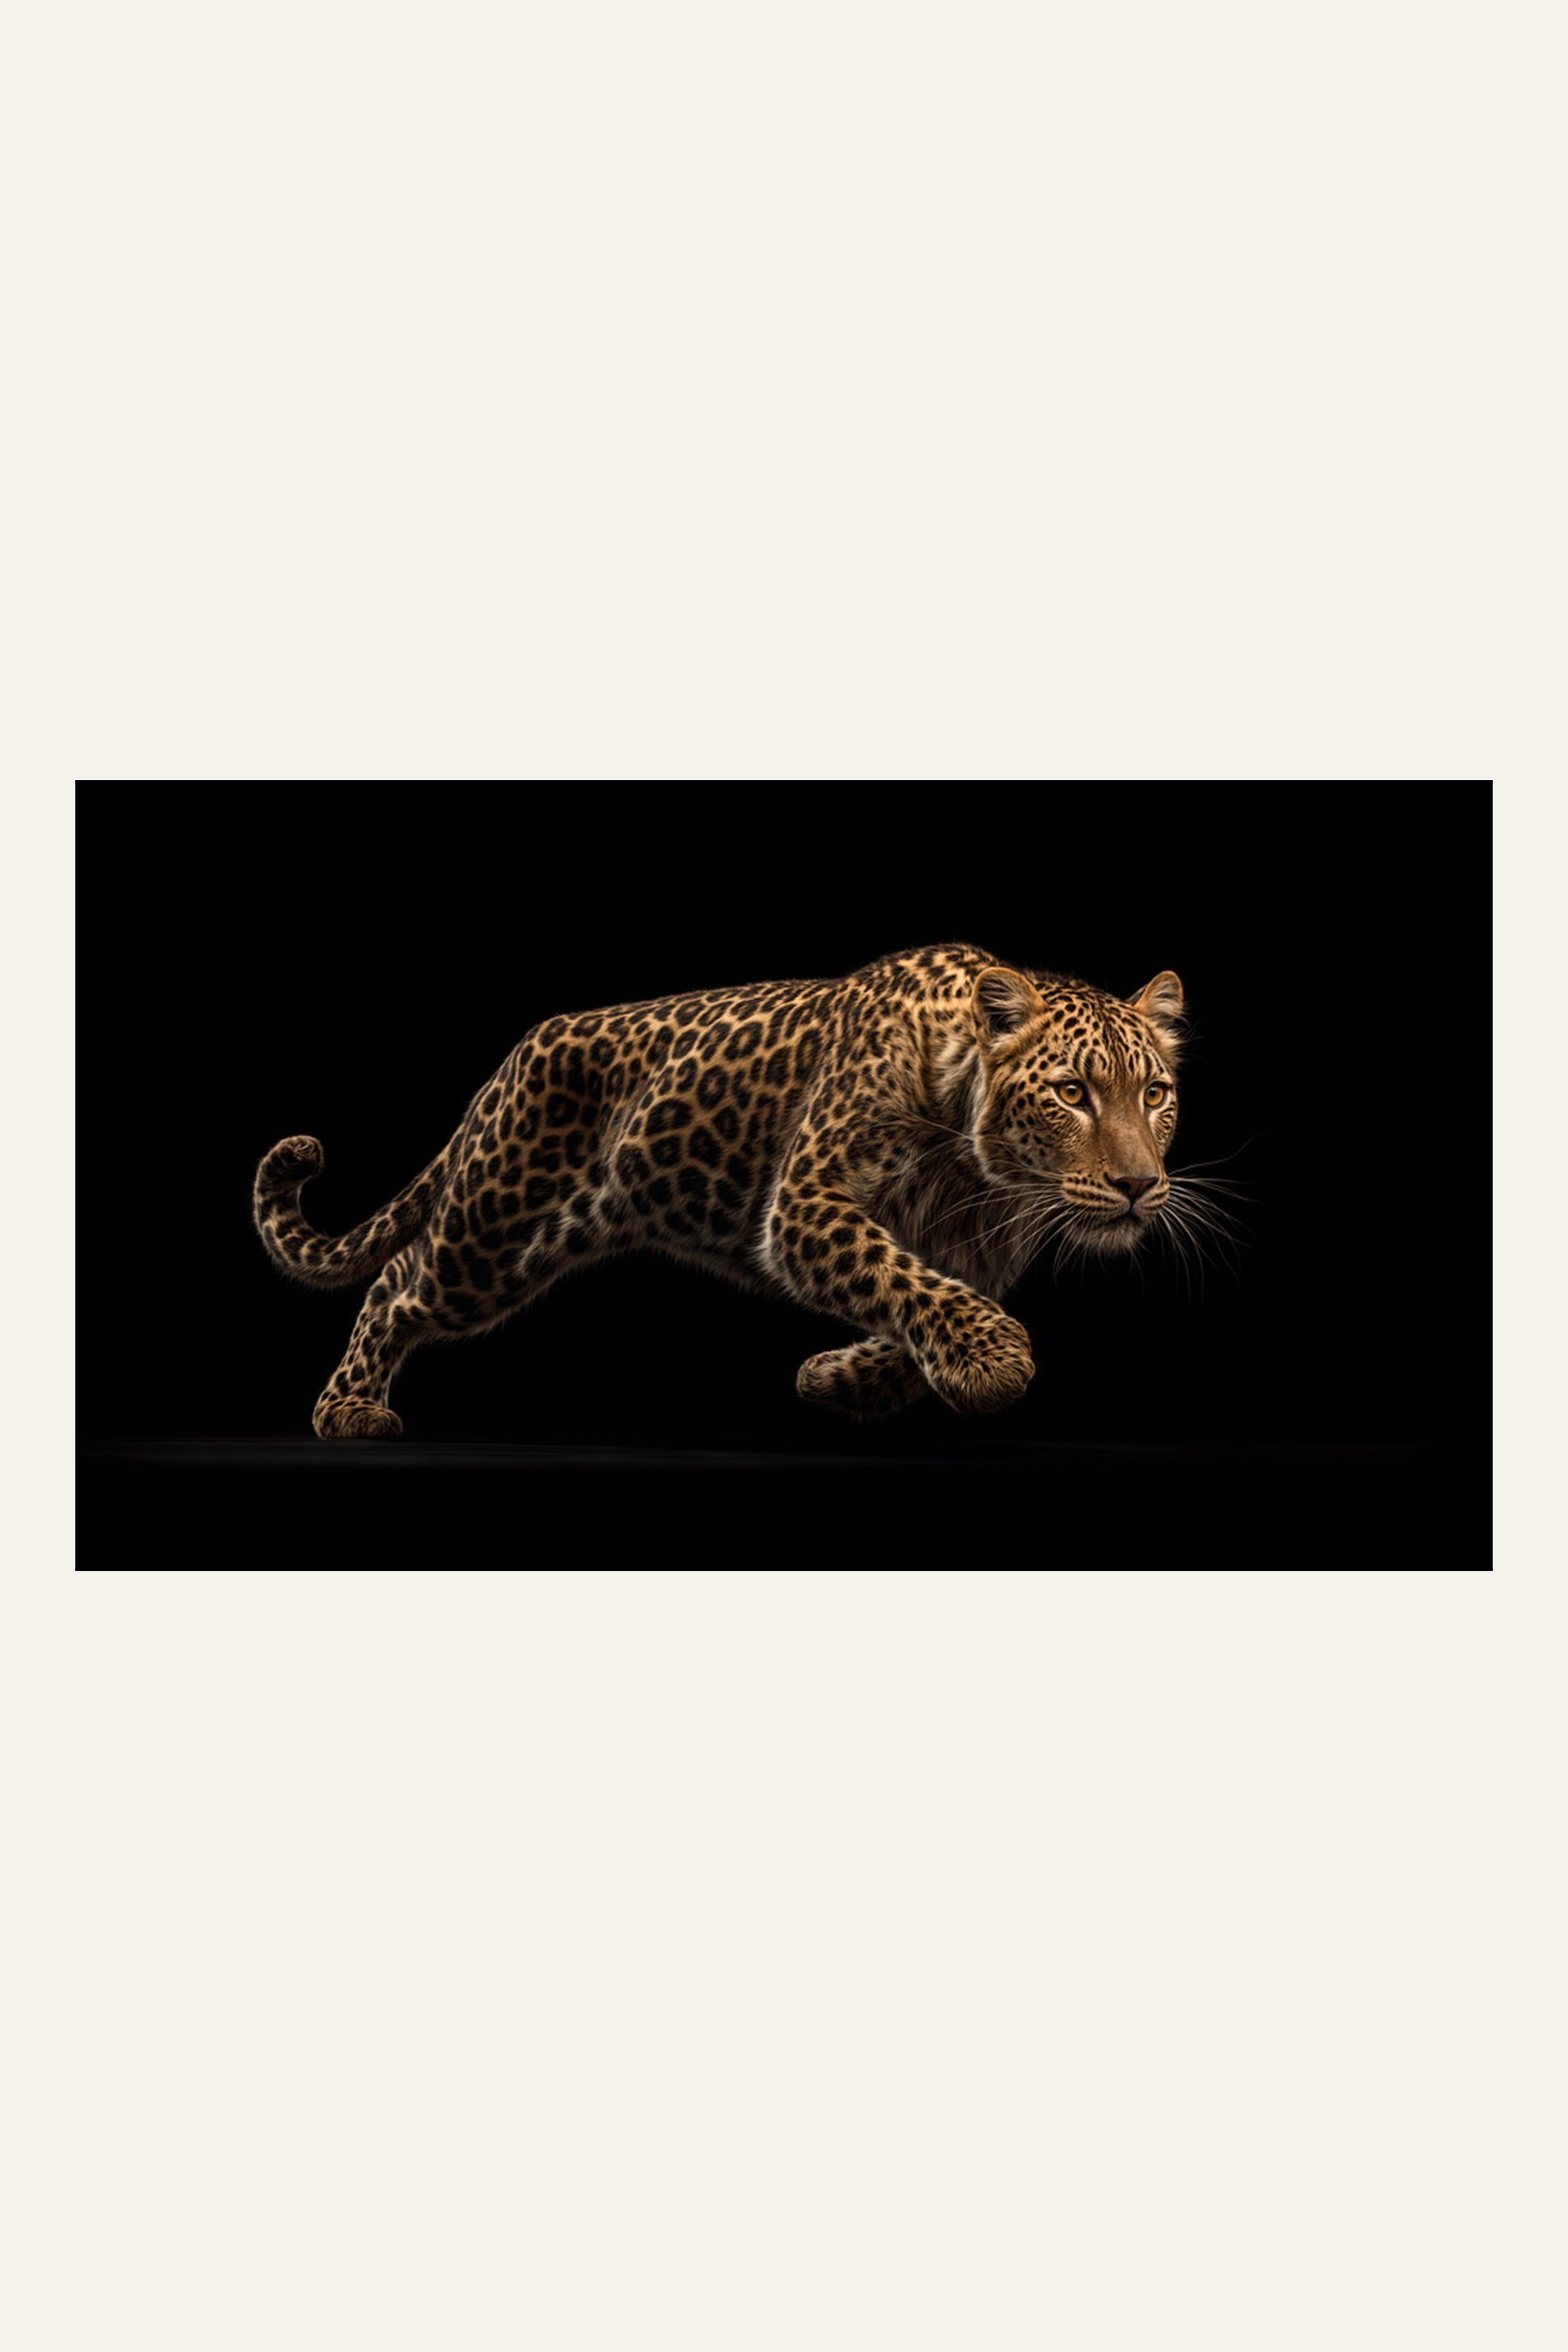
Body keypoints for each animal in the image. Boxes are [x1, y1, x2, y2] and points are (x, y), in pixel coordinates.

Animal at [253, 942, 1187, 1438]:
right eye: (1072, 1092)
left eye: (1154, 1094)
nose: (1139, 1185)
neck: (976, 1172)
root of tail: (512, 1058)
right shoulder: (806, 1203)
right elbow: (899, 1276)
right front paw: (994, 1360)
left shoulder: (977, 1251)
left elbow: (925, 1297)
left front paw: (838, 1379)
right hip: (491, 1227)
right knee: (394, 1283)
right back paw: (347, 1409)